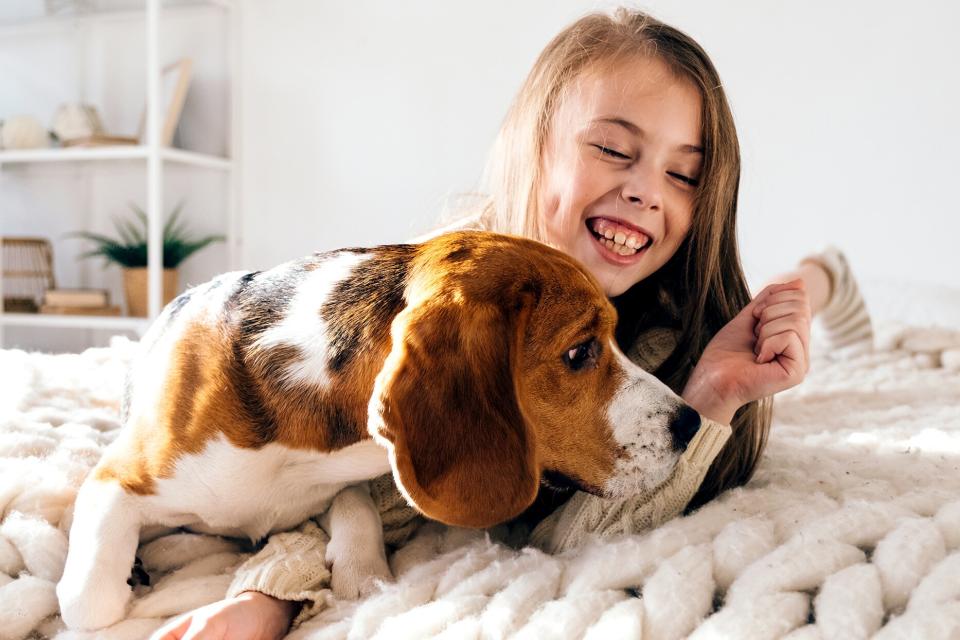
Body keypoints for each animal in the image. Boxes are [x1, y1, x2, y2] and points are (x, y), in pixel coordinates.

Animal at [54, 230, 696, 632]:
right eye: (580, 351)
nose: (690, 422)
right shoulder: (115, 480)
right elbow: (90, 603)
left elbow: (358, 514)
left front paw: (361, 576)